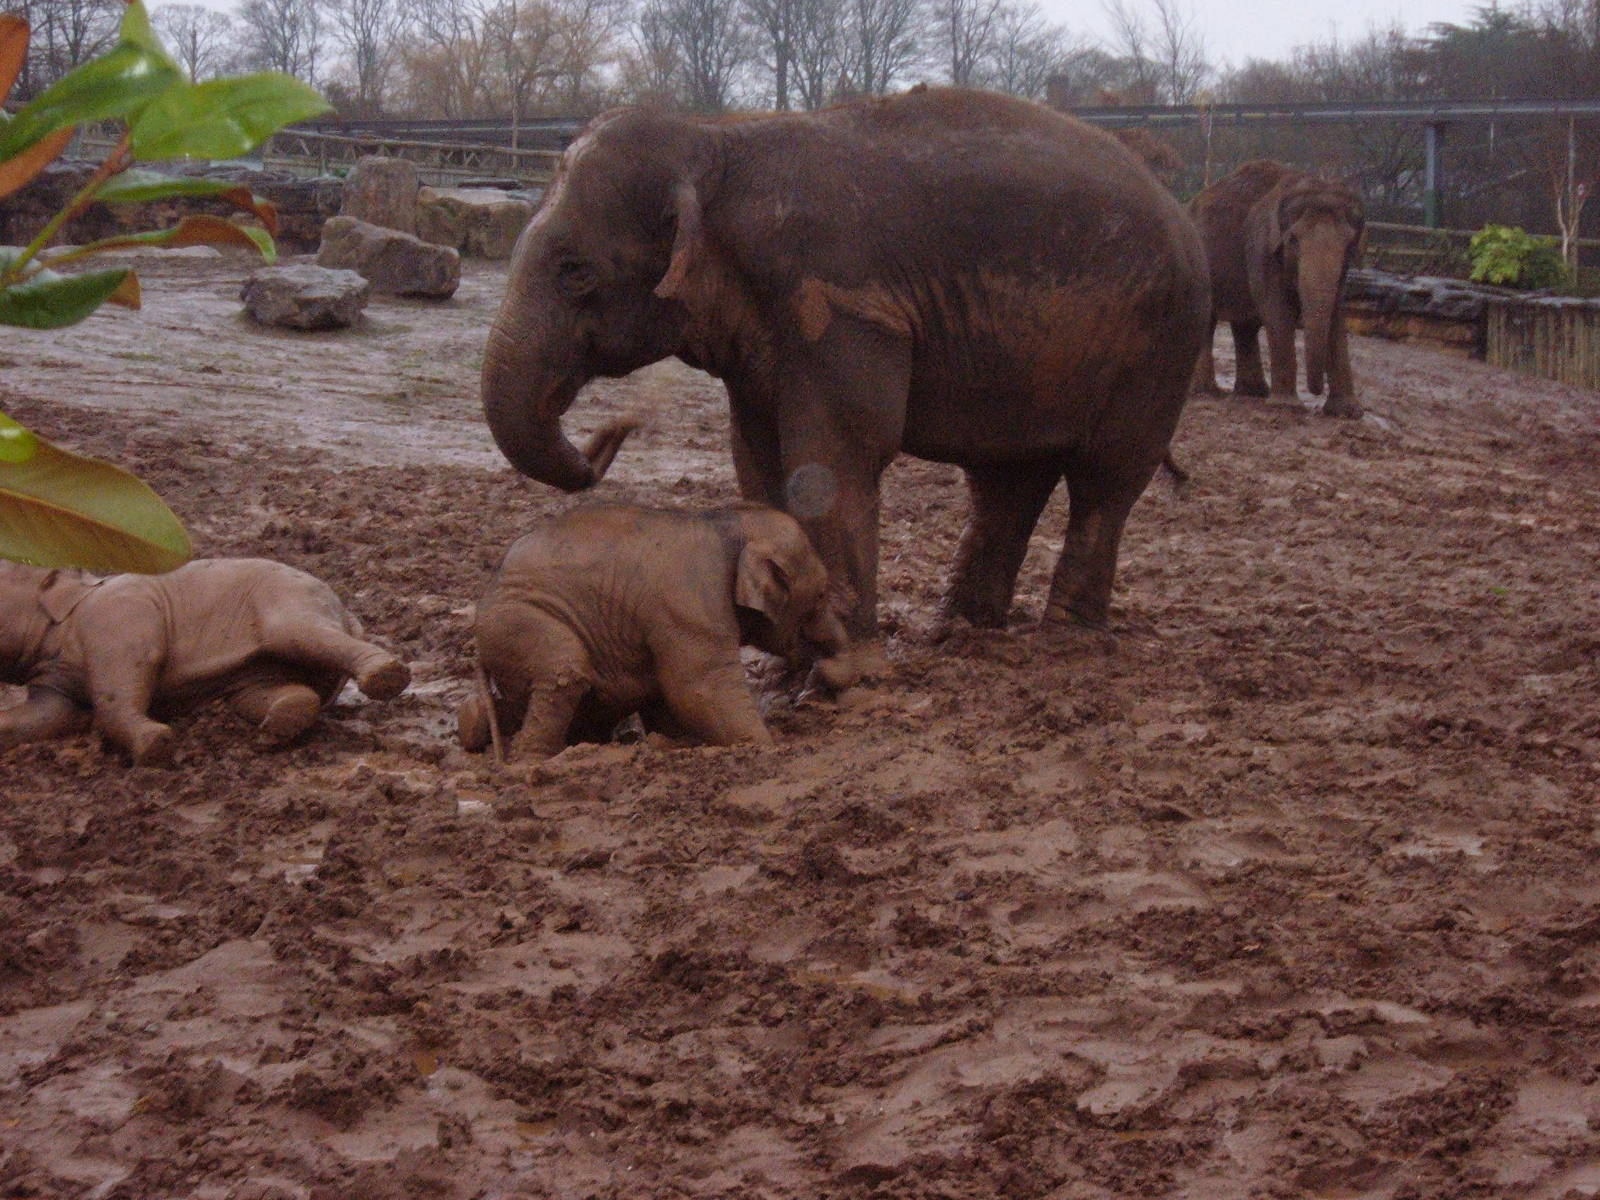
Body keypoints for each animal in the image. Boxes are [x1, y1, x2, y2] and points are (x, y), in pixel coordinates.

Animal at [0, 558, 410, 765]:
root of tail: (348, 613)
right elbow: (49, 715)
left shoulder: (119, 616)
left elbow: (125, 676)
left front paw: (157, 746)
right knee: (259, 691)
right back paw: (274, 729)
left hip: (289, 596)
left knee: (298, 632)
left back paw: (386, 677)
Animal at [456, 500, 850, 760]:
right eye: (819, 594)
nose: (820, 676)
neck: (726, 524)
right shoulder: (689, 604)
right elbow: (697, 685)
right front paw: (767, 747)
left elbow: (665, 691)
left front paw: (674, 742)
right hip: (519, 621)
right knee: (562, 669)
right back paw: (534, 759)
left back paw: (473, 723)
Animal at [478, 85, 1211, 669]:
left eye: (574, 271)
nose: (613, 428)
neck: (714, 141)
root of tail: (1177, 207)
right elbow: (757, 459)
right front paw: (793, 664)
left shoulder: (842, 299)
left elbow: (834, 452)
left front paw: (844, 664)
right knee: (1006, 480)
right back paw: (960, 634)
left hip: (1161, 345)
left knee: (1105, 479)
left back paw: (1066, 643)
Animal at [1189, 160, 1365, 418]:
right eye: (1293, 240)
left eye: (1350, 242)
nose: (1315, 391)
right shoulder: (1261, 247)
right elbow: (1277, 311)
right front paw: (1286, 407)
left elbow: (1336, 314)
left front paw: (1347, 412)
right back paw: (1205, 392)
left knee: (1245, 325)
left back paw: (1252, 393)